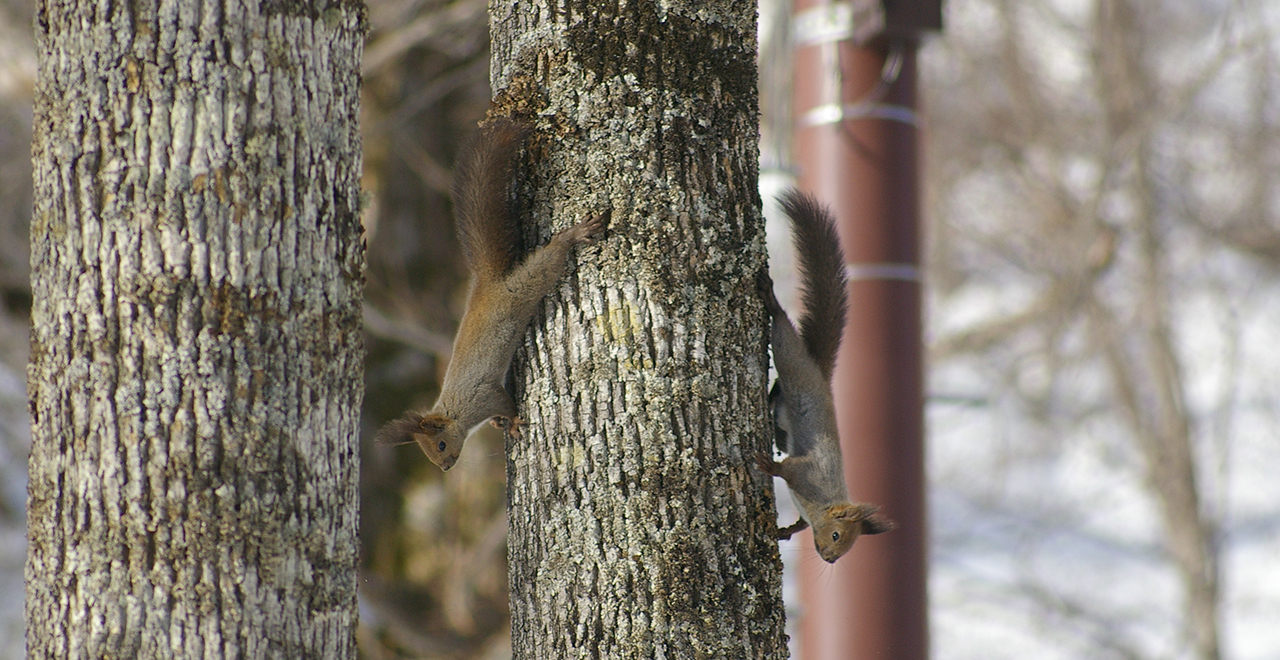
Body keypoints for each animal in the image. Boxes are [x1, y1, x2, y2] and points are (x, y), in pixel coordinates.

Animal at [373, 117, 604, 468]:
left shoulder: (482, 396)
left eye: (440, 445)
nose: (445, 467)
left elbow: (504, 403)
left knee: (547, 263)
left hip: (522, 287)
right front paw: (499, 423)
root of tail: (486, 282)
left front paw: (514, 421)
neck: (456, 412)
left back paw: (572, 237)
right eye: (432, 455)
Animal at [752, 189, 896, 562]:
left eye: (845, 549)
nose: (829, 558)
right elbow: (788, 469)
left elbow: (799, 525)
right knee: (783, 333)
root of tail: (820, 375)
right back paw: (771, 302)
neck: (823, 503)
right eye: (836, 535)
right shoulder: (808, 472)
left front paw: (783, 532)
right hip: (791, 360)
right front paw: (769, 467)